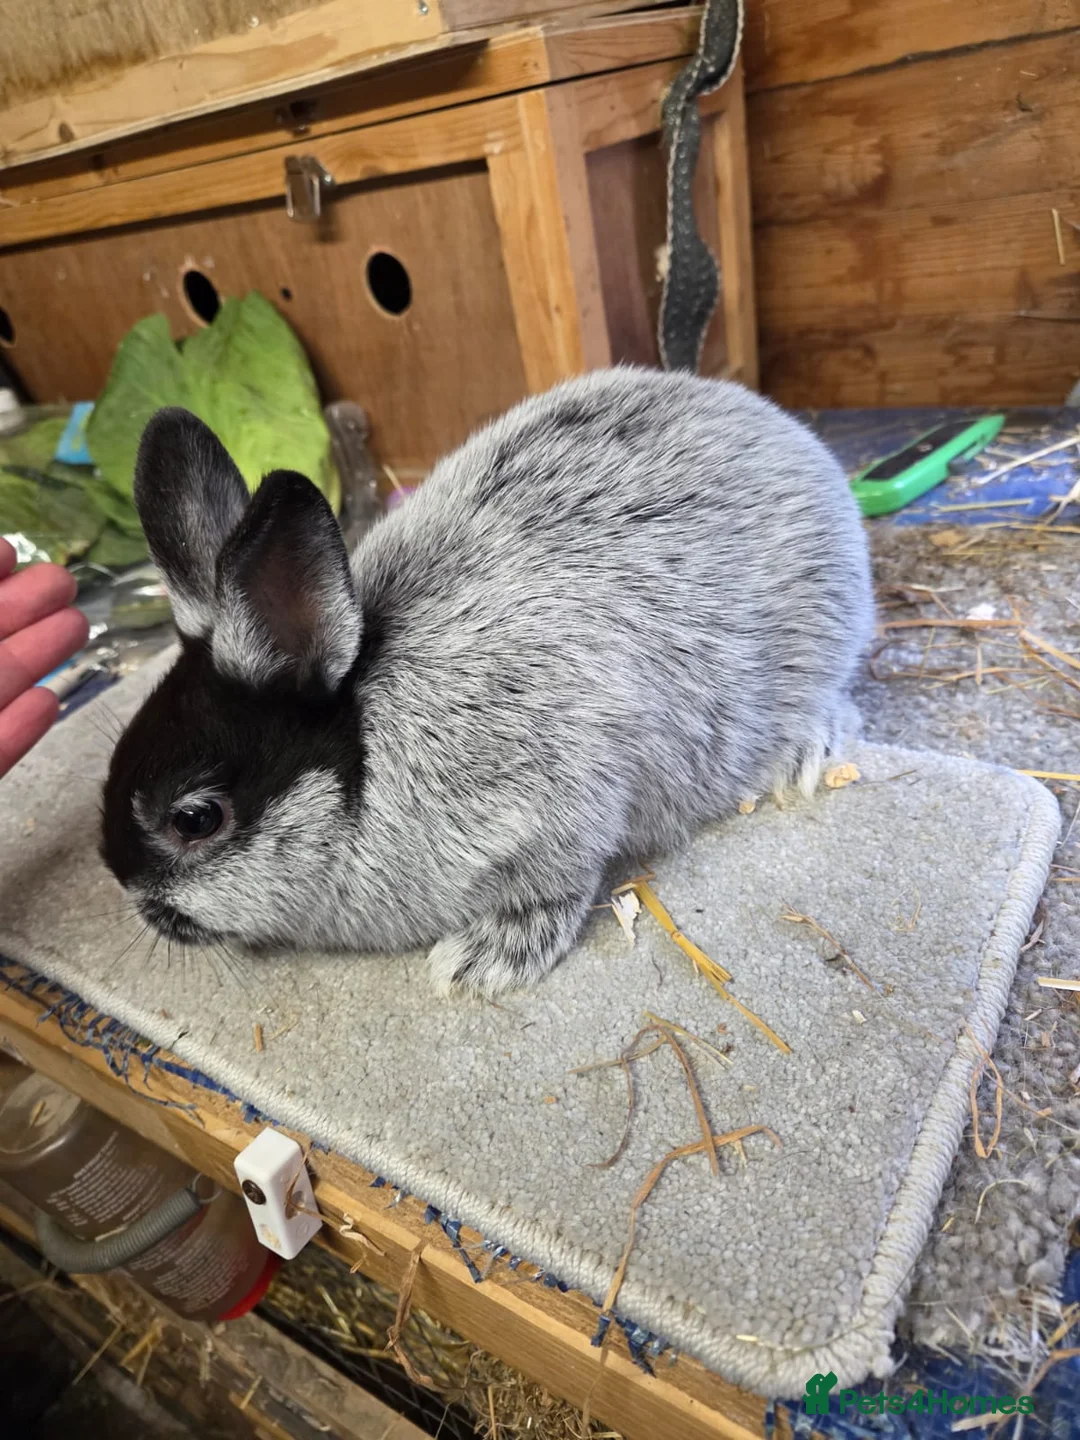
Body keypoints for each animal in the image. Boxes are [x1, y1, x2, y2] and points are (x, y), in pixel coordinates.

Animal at [101, 366, 874, 994]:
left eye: (195, 820)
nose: (127, 890)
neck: (366, 758)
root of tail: (786, 435)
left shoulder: (562, 803)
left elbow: (560, 883)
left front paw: (481, 962)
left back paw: (802, 757)